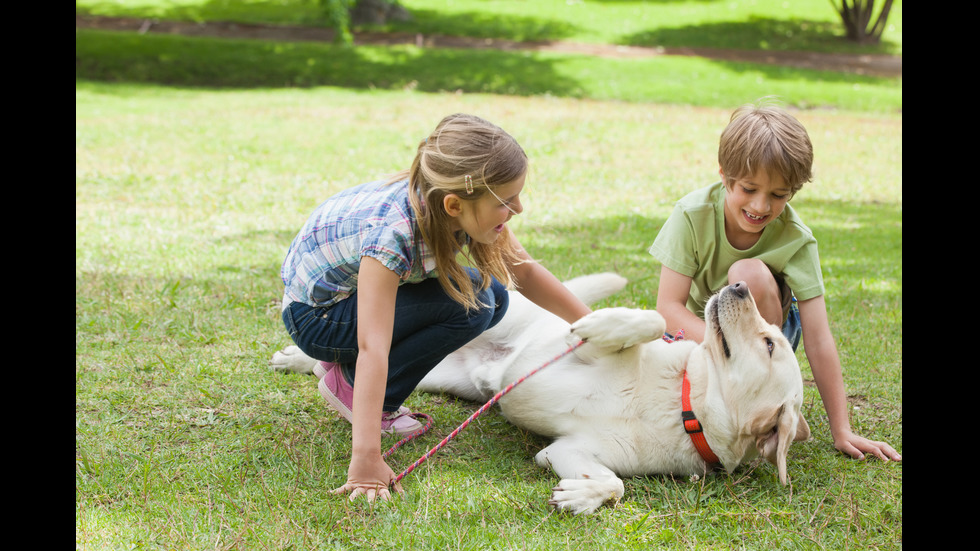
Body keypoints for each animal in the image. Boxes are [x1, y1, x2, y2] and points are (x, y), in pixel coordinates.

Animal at [270, 274, 812, 516]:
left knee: (354, 372)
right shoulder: (571, 348)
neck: (683, 402)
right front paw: (606, 322)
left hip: (444, 377)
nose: (739, 285)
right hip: (489, 312)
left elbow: (615, 483)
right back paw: (294, 358)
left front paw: (581, 495)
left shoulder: (566, 451)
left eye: (769, 343)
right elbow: (648, 319)